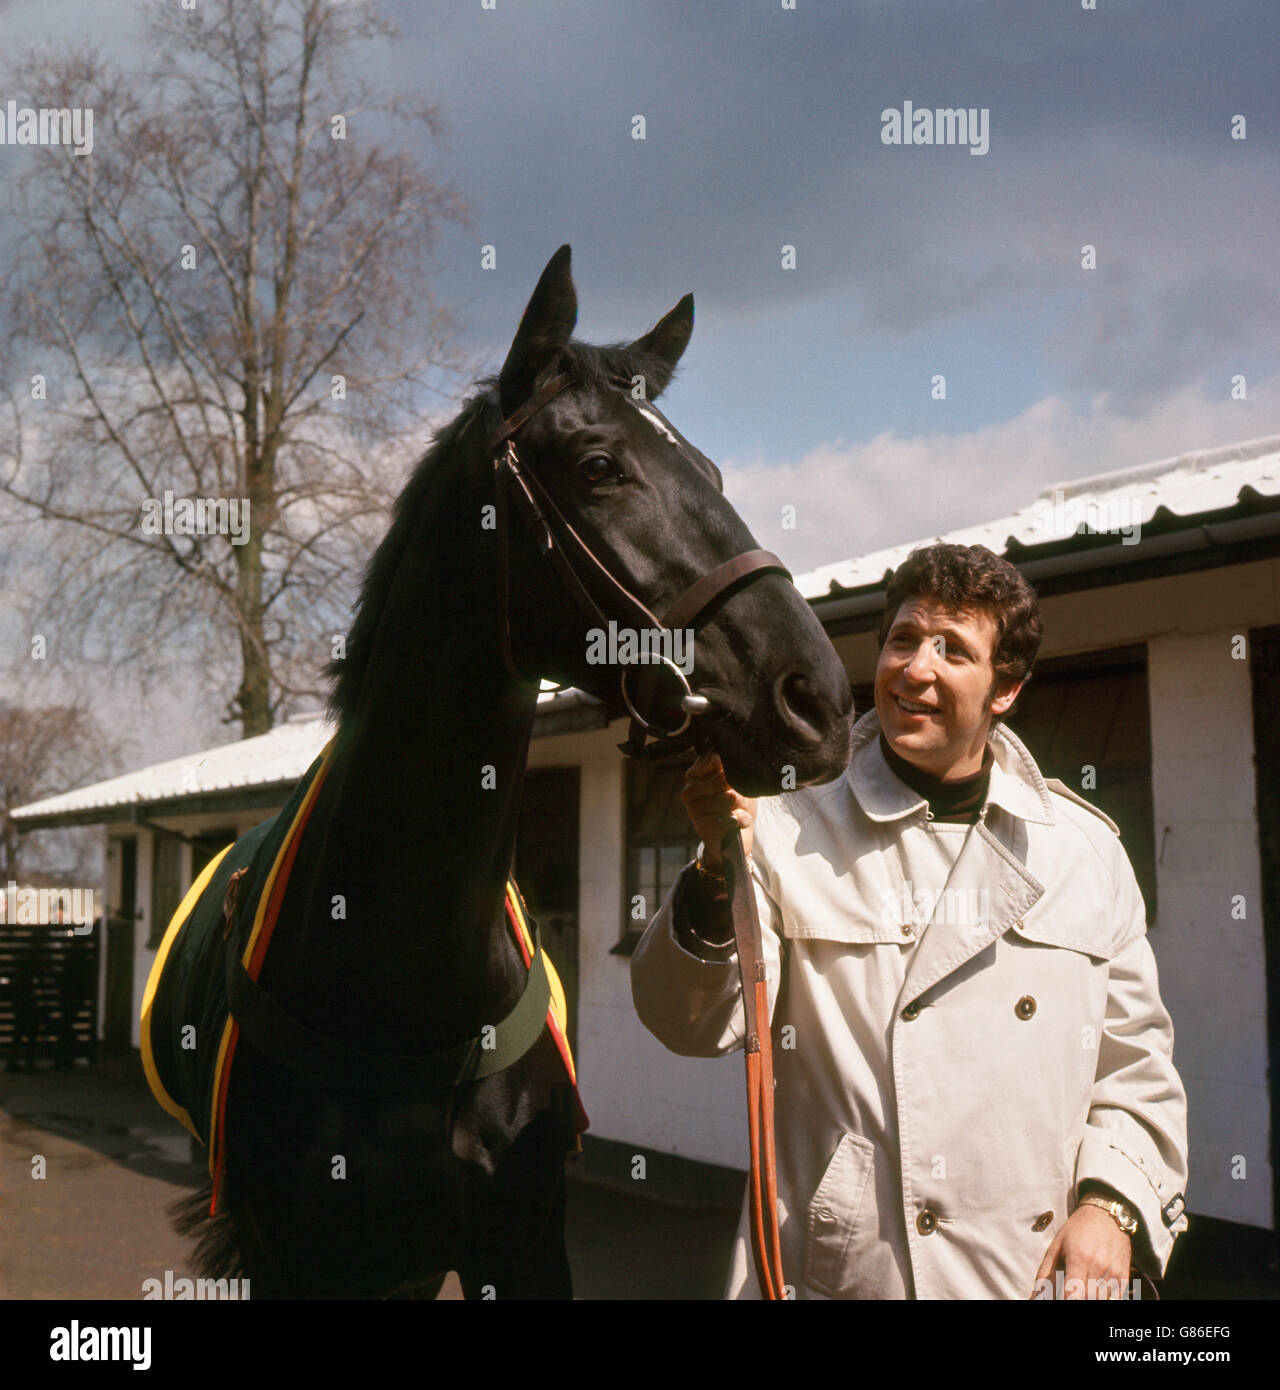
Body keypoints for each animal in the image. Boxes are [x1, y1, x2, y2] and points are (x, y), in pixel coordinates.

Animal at [164, 244, 856, 1295]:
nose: (818, 699)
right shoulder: (299, 1257)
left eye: (710, 469)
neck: (401, 984)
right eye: (600, 466)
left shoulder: (521, 1241)